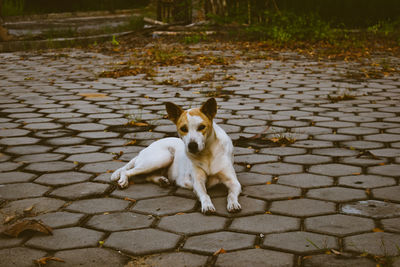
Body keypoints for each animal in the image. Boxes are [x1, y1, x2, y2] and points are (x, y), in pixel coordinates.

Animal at [109, 98, 241, 214]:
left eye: (202, 127)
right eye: (183, 128)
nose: (192, 145)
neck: (207, 153)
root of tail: (144, 150)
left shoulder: (233, 181)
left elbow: (231, 194)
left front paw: (233, 203)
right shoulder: (198, 182)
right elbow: (205, 194)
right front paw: (207, 205)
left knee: (148, 176)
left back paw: (161, 180)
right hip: (163, 157)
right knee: (127, 171)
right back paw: (123, 180)